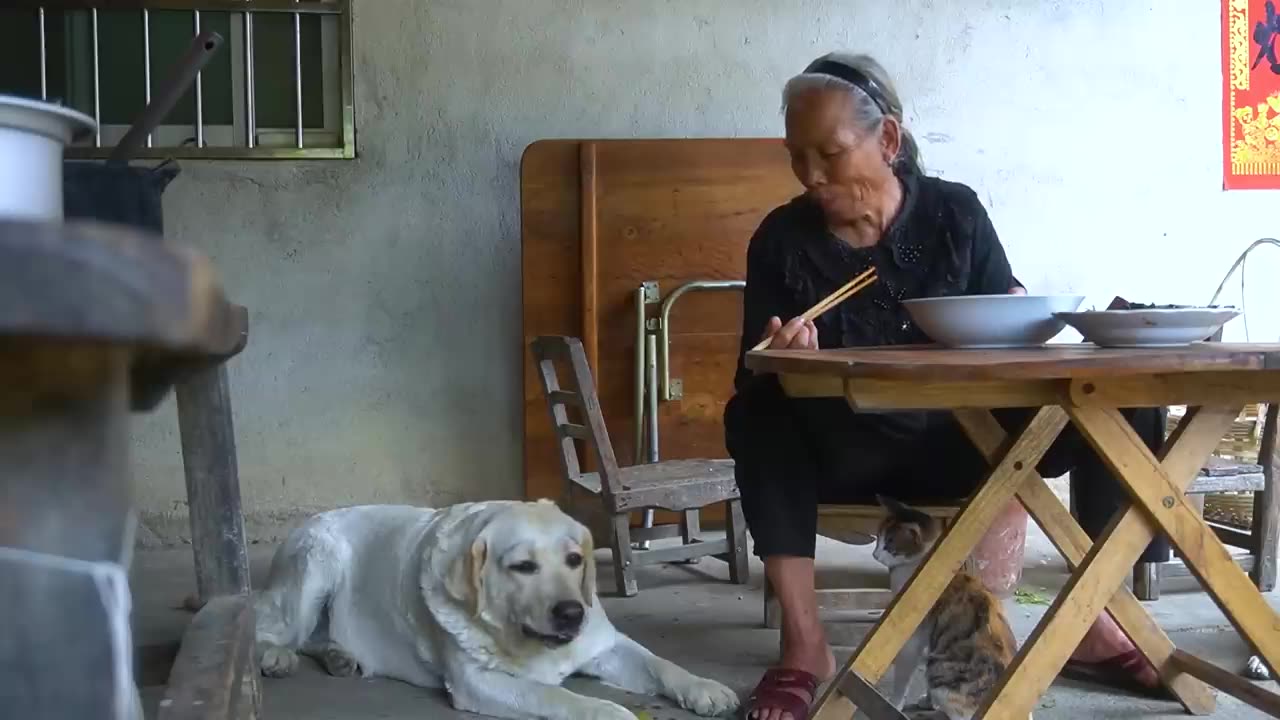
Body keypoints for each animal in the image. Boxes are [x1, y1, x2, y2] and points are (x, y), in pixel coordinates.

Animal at [252, 499, 742, 717]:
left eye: (575, 560)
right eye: (523, 566)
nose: (572, 613)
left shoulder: (605, 645)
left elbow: (660, 664)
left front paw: (704, 688)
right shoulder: (479, 682)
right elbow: (560, 696)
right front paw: (610, 712)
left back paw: (339, 656)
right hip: (316, 566)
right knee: (267, 628)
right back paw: (276, 657)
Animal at [870, 491, 1029, 717]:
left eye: (890, 543)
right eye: (878, 538)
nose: (874, 554)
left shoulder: (912, 636)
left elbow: (903, 675)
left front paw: (895, 702)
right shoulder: (931, 638)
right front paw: (928, 702)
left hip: (941, 671)